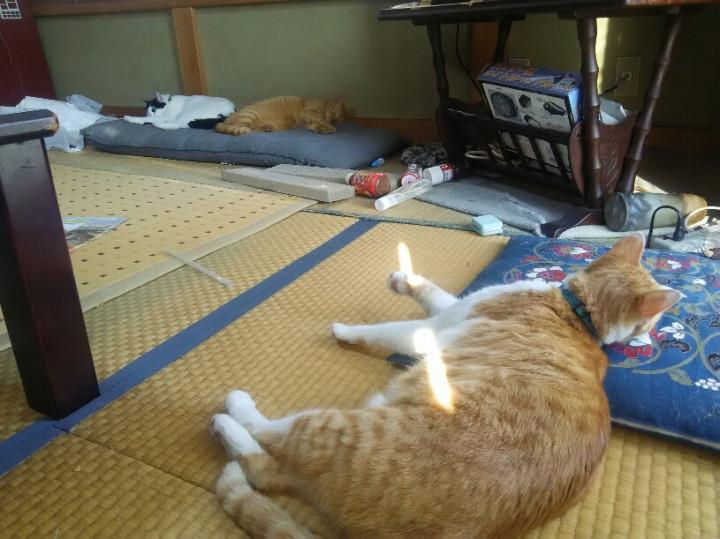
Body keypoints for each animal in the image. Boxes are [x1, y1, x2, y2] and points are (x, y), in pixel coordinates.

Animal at [209, 233, 681, 538]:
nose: (655, 329)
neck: (577, 313)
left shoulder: (434, 329)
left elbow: (387, 329)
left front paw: (345, 330)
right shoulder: (454, 307)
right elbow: (431, 291)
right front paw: (403, 280)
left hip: (336, 428)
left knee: (266, 445)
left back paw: (230, 414)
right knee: (269, 473)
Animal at [215, 96, 350, 136]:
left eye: (337, 120)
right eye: (333, 112)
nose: (332, 120)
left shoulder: (309, 121)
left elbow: (314, 125)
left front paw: (321, 129)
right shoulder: (310, 112)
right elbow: (320, 120)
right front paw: (327, 128)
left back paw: (267, 128)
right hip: (249, 116)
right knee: (245, 129)